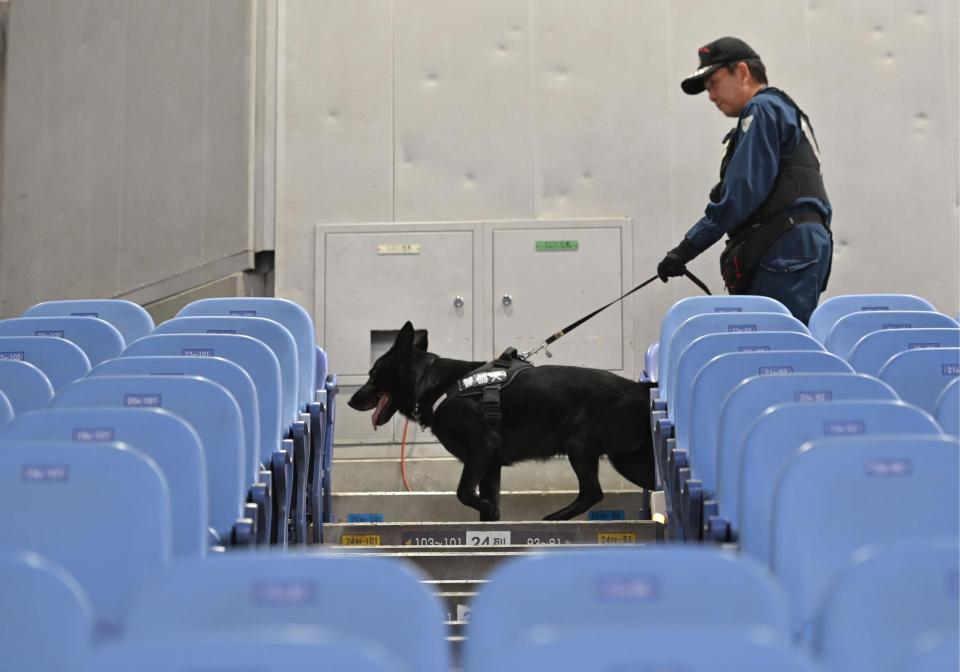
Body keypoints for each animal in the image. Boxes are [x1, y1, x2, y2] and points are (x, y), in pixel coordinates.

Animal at [348, 322, 656, 524]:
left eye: (373, 374)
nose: (351, 400)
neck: (432, 384)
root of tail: (641, 389)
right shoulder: (490, 465)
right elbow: (484, 507)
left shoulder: (481, 448)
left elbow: (463, 492)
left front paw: (489, 509)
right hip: (628, 462)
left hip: (579, 446)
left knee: (592, 493)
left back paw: (554, 518)